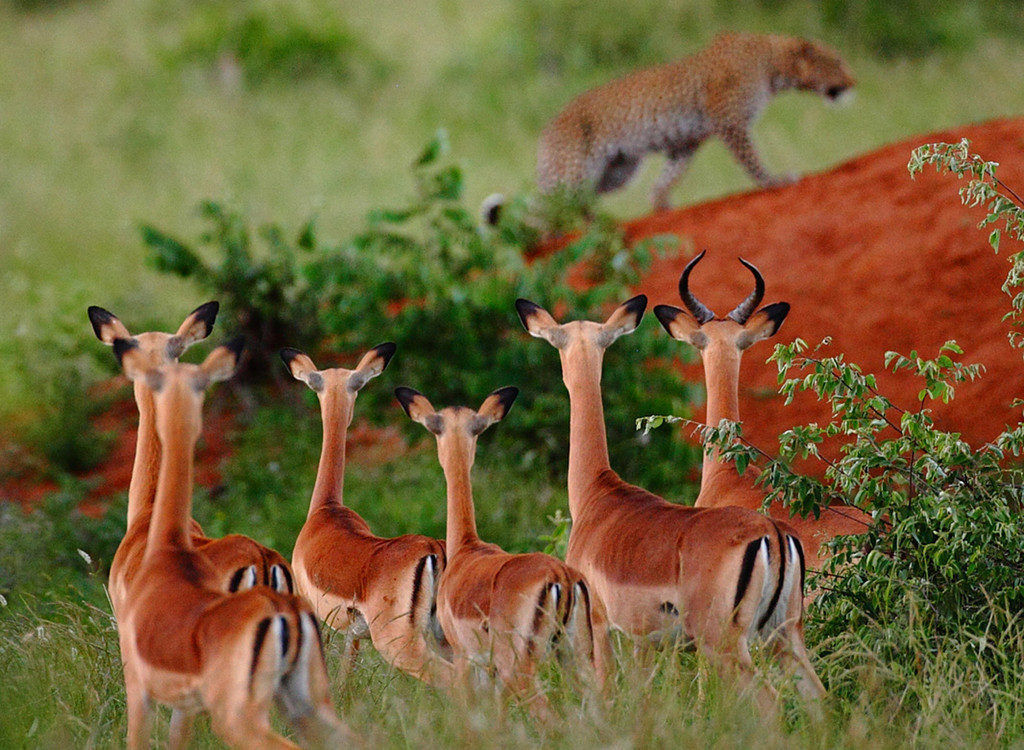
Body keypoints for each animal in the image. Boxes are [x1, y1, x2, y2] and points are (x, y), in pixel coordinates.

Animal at [536, 33, 856, 211]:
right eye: (839, 62)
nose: (855, 83)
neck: (773, 67)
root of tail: (548, 128)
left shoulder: (686, 142)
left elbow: (671, 174)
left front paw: (659, 203)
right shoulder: (729, 121)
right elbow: (752, 159)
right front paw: (773, 181)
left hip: (616, 172)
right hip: (573, 171)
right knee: (543, 209)